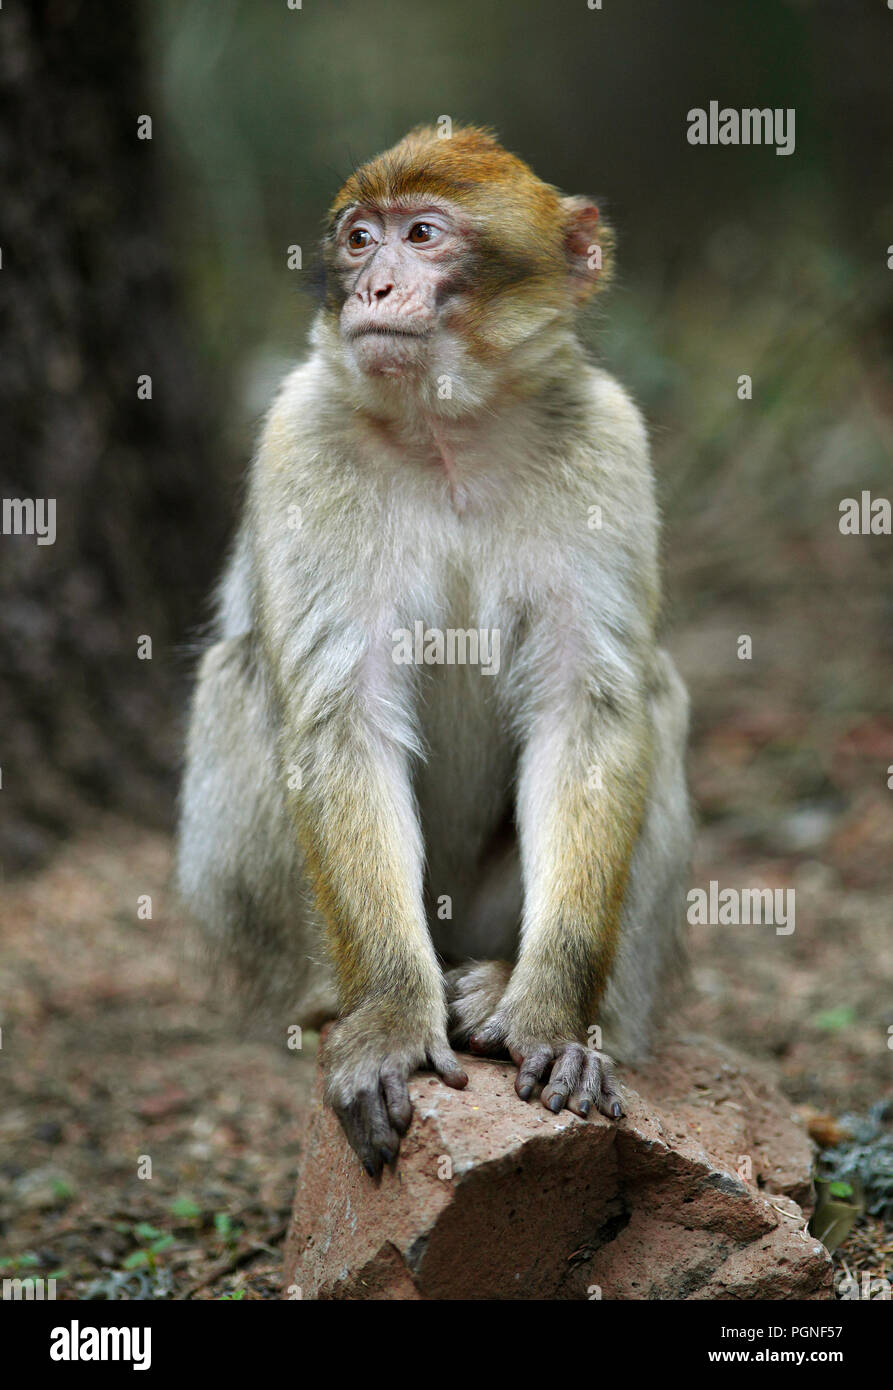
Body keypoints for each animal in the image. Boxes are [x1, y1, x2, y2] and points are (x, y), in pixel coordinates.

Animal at [176, 125, 691, 1178]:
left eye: (422, 234)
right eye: (359, 237)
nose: (373, 287)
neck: (448, 428)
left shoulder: (609, 438)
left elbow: (589, 711)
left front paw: (549, 1015)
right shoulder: (297, 435)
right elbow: (342, 718)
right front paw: (386, 1021)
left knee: (653, 692)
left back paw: (525, 992)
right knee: (240, 677)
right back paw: (328, 1002)